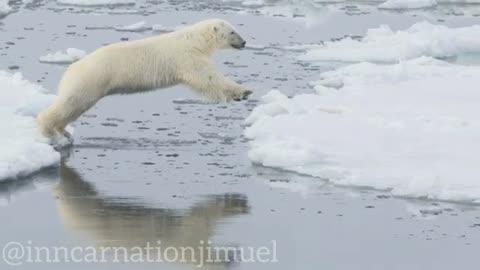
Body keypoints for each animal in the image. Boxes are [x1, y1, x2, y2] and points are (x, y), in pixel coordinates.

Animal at [37, 18, 253, 140]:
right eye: (232, 31)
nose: (244, 42)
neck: (194, 40)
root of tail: (71, 69)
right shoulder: (187, 57)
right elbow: (207, 78)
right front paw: (243, 92)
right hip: (91, 79)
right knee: (70, 103)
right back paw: (49, 129)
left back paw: (64, 131)